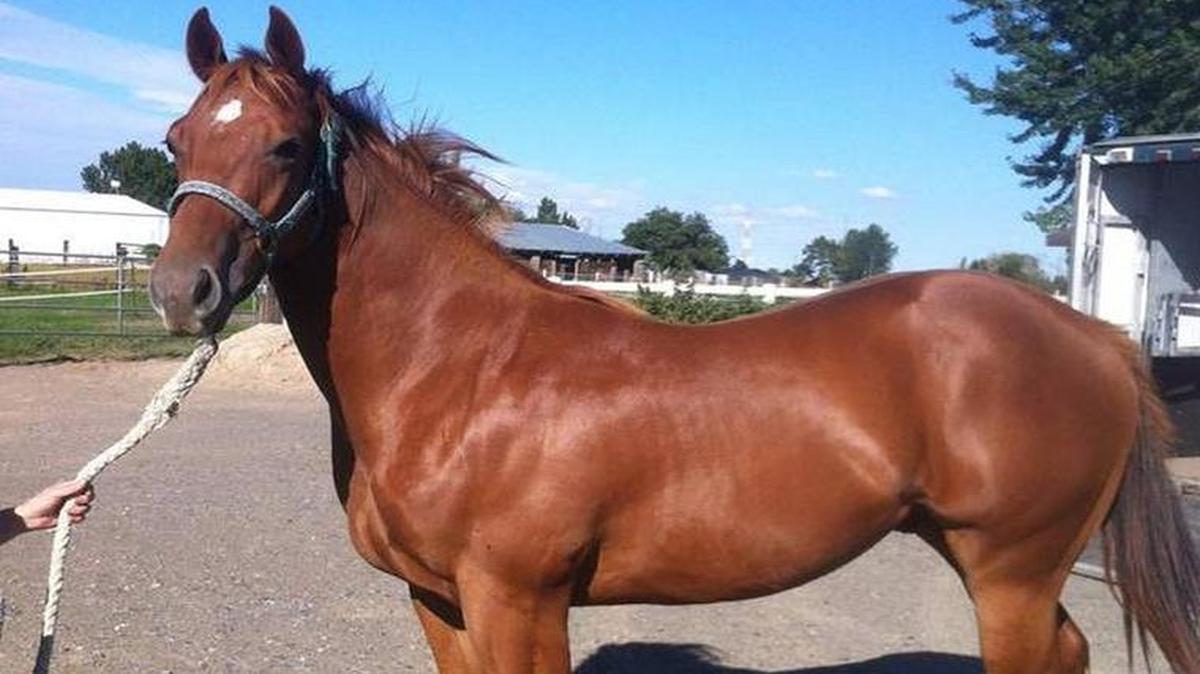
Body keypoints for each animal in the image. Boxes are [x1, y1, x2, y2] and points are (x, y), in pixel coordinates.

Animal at [149, 7, 1200, 673]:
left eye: (287, 145)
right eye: (175, 140)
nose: (178, 291)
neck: (458, 370)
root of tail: (1097, 339)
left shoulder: (518, 602)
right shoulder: (438, 601)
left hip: (1008, 569)